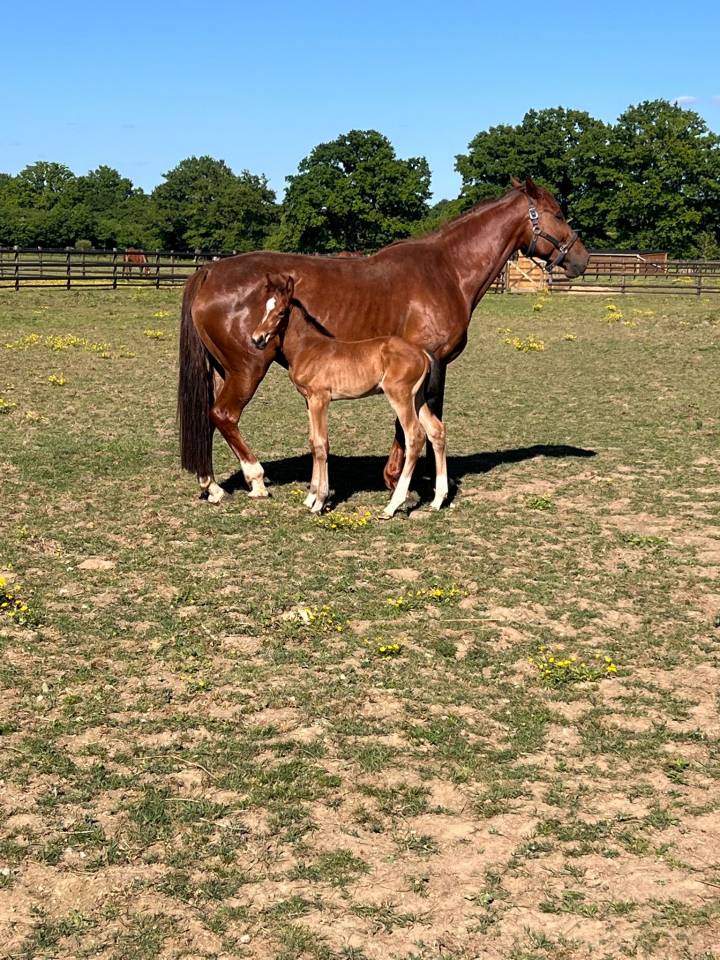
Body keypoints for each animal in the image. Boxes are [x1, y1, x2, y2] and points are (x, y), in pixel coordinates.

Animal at [250, 274, 448, 517]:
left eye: (280, 312)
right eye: (264, 308)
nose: (257, 338)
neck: (308, 347)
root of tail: (421, 352)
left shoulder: (320, 399)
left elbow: (321, 445)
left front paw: (320, 501)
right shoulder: (308, 400)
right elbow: (313, 442)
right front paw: (310, 497)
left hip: (400, 397)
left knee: (415, 435)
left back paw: (392, 506)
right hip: (417, 398)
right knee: (436, 430)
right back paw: (438, 500)